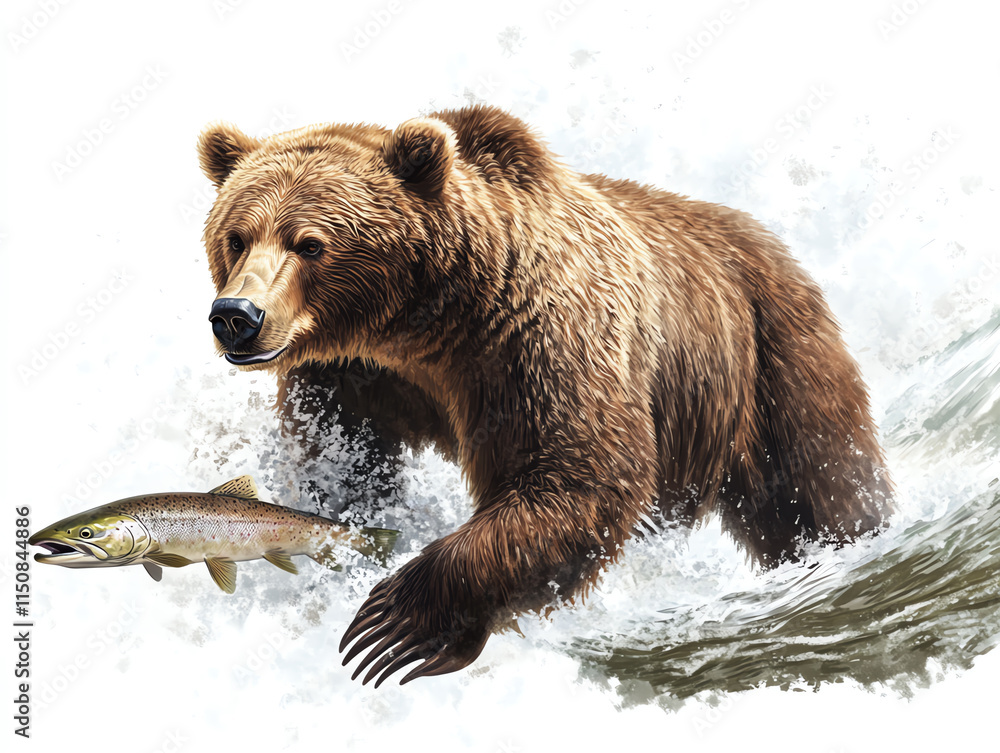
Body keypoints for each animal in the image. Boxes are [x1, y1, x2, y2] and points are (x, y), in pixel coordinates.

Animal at [196, 104, 893, 687]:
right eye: (237, 235)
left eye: (310, 242)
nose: (237, 316)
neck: (424, 324)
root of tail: (767, 240)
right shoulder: (352, 376)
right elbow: (343, 464)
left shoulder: (538, 338)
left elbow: (575, 474)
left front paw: (399, 621)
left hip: (773, 352)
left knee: (820, 481)